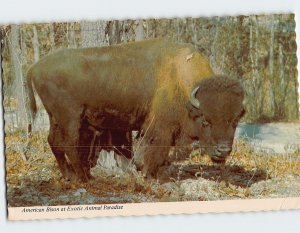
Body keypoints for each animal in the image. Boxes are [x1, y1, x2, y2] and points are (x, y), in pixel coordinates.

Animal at [25, 38, 245, 182]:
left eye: (235, 122)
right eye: (206, 121)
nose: (223, 150)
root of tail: (35, 67)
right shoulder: (161, 128)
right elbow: (156, 152)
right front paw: (153, 177)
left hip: (56, 118)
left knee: (54, 141)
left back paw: (70, 175)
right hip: (70, 118)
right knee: (69, 144)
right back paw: (83, 178)